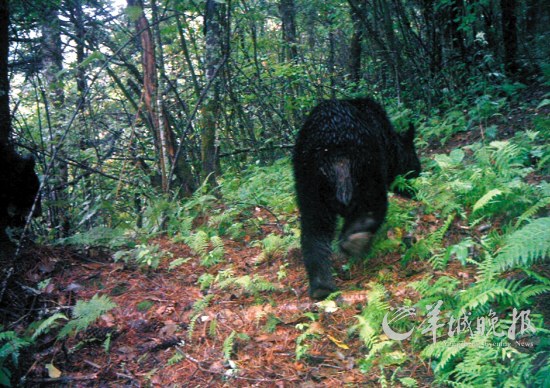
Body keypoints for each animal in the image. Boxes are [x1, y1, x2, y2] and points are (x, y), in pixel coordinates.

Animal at [296, 98, 420, 300]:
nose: (419, 171)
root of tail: (333, 154)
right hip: (367, 170)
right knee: (373, 207)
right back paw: (355, 241)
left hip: (310, 185)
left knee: (313, 232)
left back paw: (321, 286)